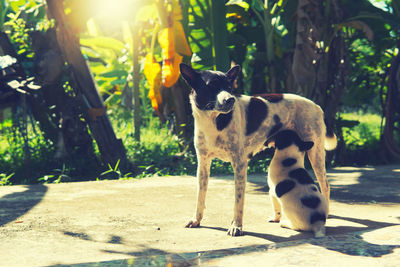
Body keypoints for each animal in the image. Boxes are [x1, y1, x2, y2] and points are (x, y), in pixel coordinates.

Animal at [180, 63, 336, 237]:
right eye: (211, 86)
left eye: (229, 87)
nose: (231, 99)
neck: (214, 121)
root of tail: (316, 106)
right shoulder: (203, 164)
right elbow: (200, 196)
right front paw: (196, 219)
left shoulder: (240, 165)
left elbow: (238, 201)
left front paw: (236, 226)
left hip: (315, 153)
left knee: (325, 185)